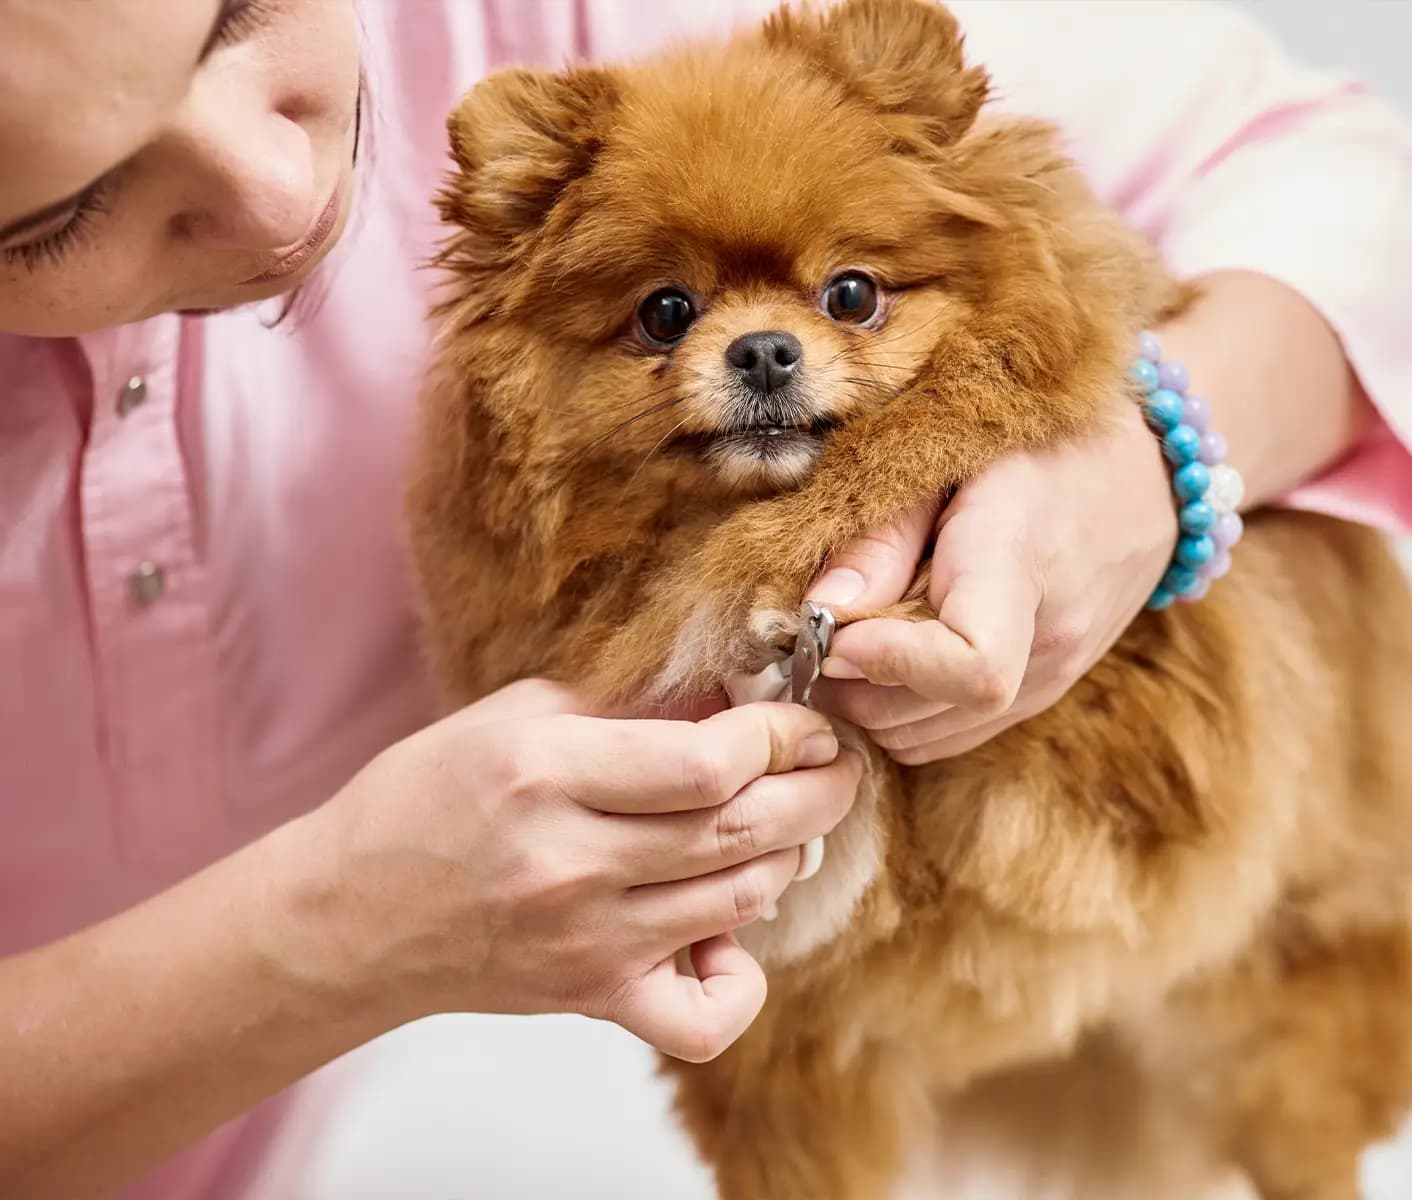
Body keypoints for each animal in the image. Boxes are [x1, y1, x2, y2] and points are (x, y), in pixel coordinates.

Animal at [406, 4, 1412, 1191]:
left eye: (851, 293)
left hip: (1276, 1043)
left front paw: (844, 624)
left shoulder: (1159, 729)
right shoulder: (781, 1059)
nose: (762, 349)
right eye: (664, 312)